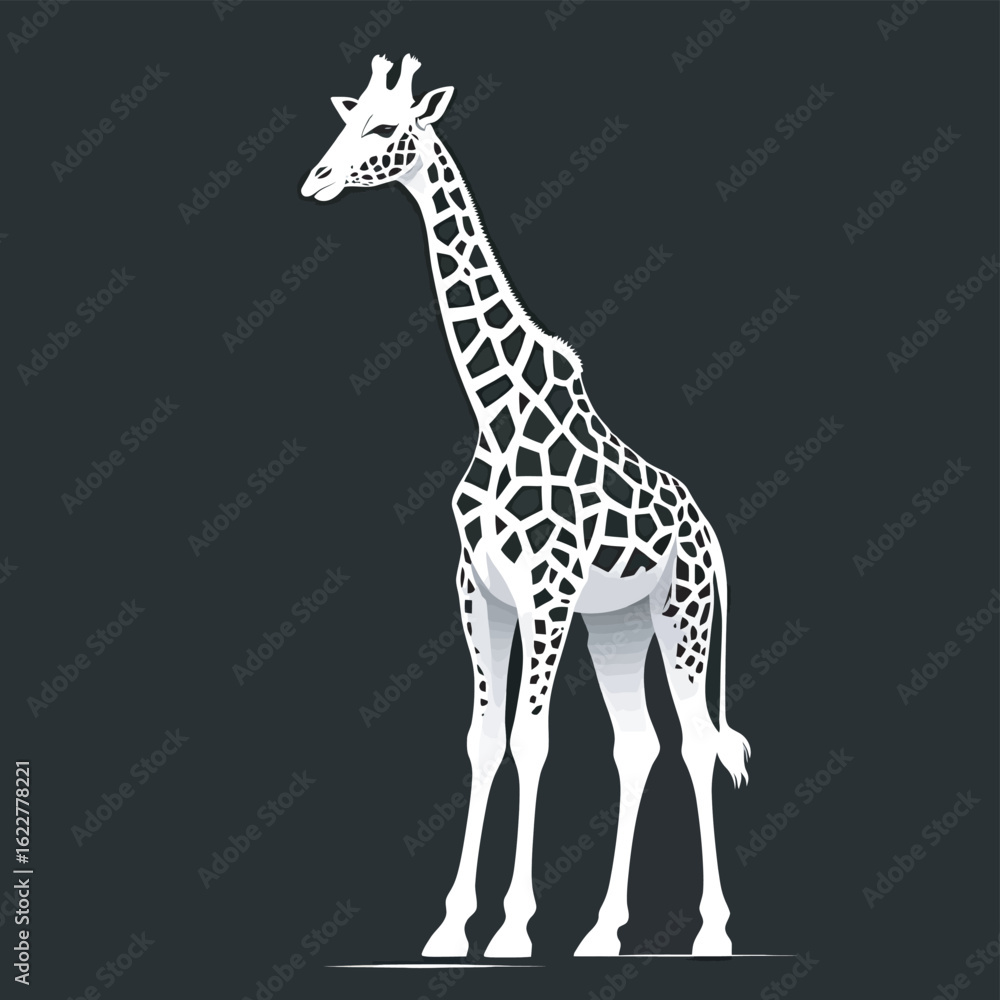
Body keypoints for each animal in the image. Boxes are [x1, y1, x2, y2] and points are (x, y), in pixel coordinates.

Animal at [301, 55, 751, 959]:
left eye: (385, 128)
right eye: (346, 118)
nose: (316, 180)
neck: (494, 406)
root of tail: (709, 533)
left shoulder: (546, 588)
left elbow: (532, 742)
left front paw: (511, 928)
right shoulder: (480, 588)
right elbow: (483, 742)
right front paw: (449, 927)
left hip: (680, 615)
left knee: (694, 743)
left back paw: (713, 932)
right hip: (617, 624)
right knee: (639, 745)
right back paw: (604, 930)